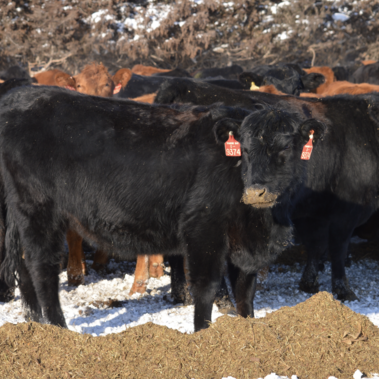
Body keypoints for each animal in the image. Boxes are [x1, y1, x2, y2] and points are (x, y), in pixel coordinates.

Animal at [0, 84, 292, 332]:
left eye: (288, 148)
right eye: (245, 148)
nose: (257, 191)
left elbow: (245, 291)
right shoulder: (204, 227)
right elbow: (207, 286)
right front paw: (204, 333)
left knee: (24, 265)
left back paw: (36, 325)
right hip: (38, 208)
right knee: (42, 266)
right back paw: (58, 329)